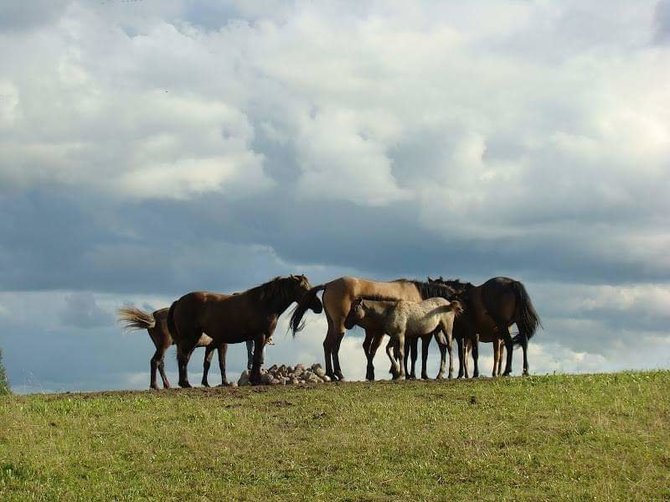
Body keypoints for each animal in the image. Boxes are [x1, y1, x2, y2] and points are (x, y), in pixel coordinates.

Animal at [171, 274, 322, 388]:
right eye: (303, 288)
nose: (319, 306)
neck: (264, 304)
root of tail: (179, 301)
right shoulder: (259, 336)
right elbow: (257, 358)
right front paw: (256, 380)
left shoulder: (261, 338)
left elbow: (257, 359)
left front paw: (254, 380)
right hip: (190, 338)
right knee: (183, 358)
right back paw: (185, 383)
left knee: (185, 358)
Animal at [292, 274, 464, 380]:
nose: (461, 311)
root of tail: (328, 285)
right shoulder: (413, 335)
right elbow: (412, 353)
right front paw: (408, 374)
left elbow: (397, 352)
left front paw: (397, 372)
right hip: (340, 326)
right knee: (335, 347)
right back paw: (339, 374)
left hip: (332, 324)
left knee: (327, 344)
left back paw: (330, 374)